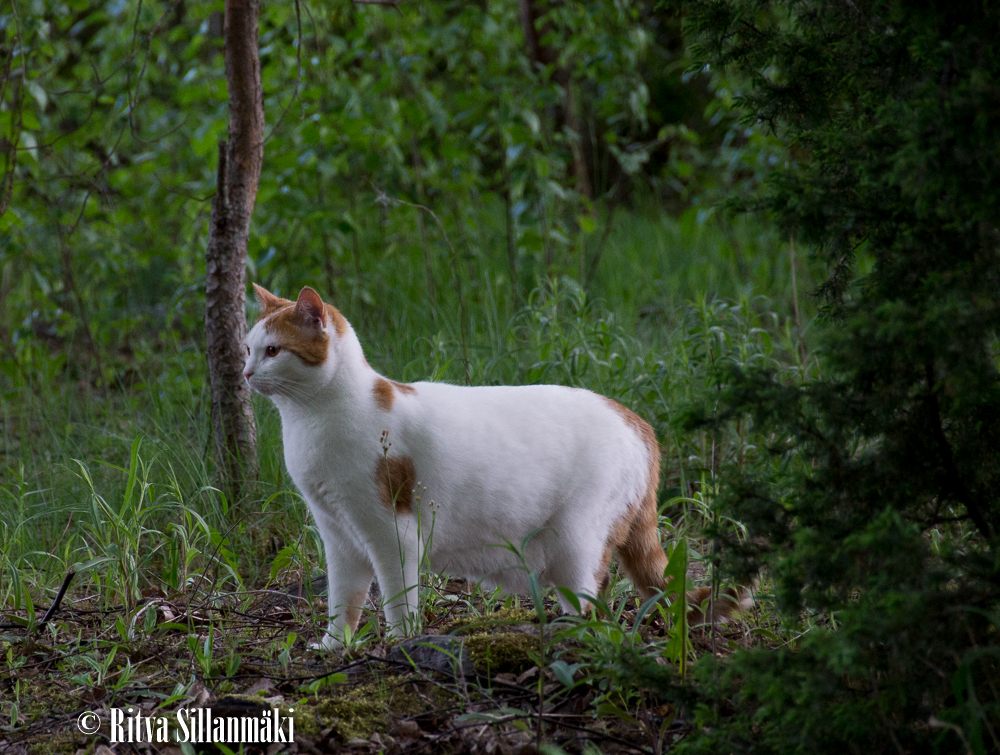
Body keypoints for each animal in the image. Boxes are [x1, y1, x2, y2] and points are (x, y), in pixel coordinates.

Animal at [244, 285, 750, 650]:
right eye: (248, 348)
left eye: (273, 351)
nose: (245, 373)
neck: (311, 421)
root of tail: (633, 417)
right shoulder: (339, 536)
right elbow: (342, 601)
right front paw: (334, 647)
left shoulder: (392, 536)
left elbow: (398, 602)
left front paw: (401, 644)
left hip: (575, 541)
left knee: (593, 603)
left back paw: (572, 640)